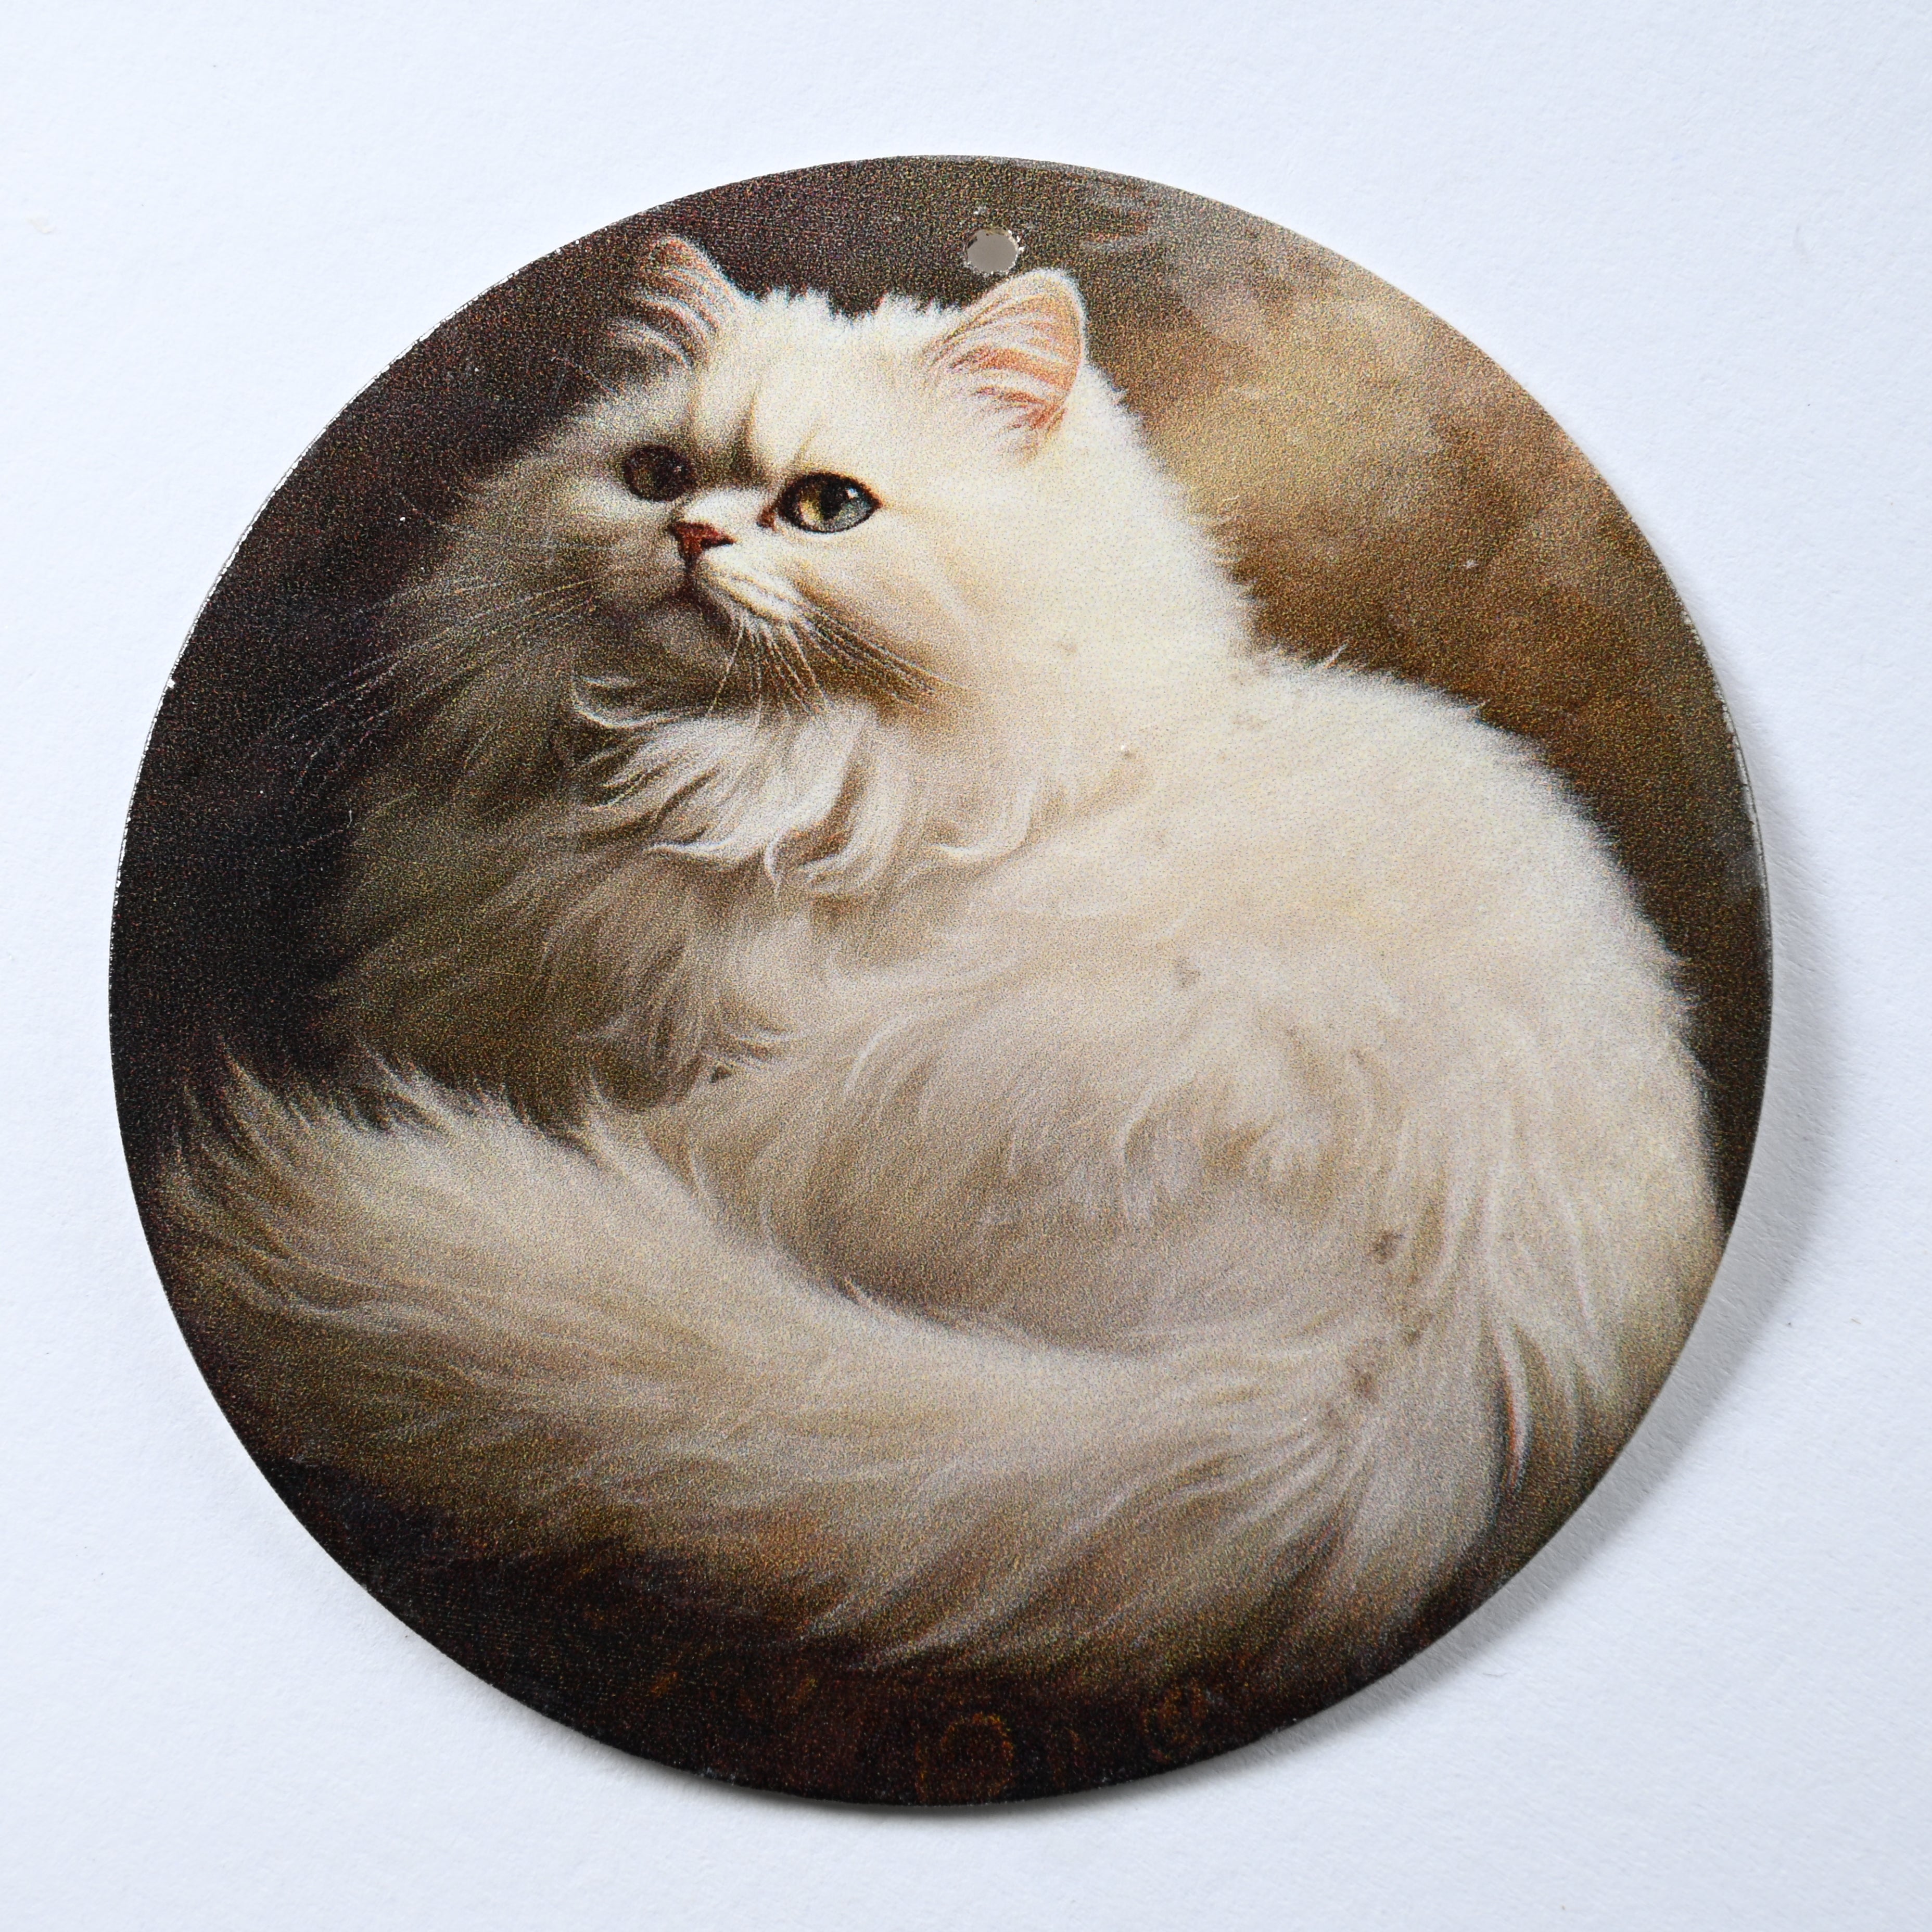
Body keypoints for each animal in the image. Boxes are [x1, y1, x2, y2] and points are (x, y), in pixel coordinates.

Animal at [163, 237, 1718, 1701]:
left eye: (825, 508)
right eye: (654, 473)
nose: (692, 532)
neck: (716, 772)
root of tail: (1436, 1372)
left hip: (875, 1092)